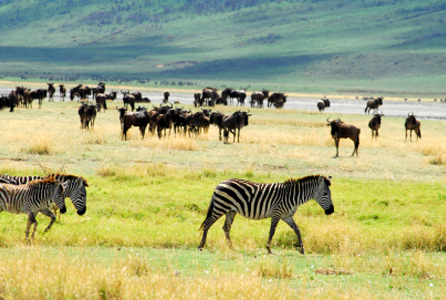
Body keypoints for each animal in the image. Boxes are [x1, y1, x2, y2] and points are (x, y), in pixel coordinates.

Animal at [199, 175, 334, 254]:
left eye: (329, 193)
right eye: (325, 194)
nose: (331, 211)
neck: (293, 197)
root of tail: (221, 183)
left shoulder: (287, 216)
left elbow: (297, 230)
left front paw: (302, 249)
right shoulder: (277, 213)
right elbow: (272, 231)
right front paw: (268, 248)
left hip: (231, 210)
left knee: (225, 227)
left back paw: (231, 247)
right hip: (220, 207)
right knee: (208, 223)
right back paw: (201, 245)